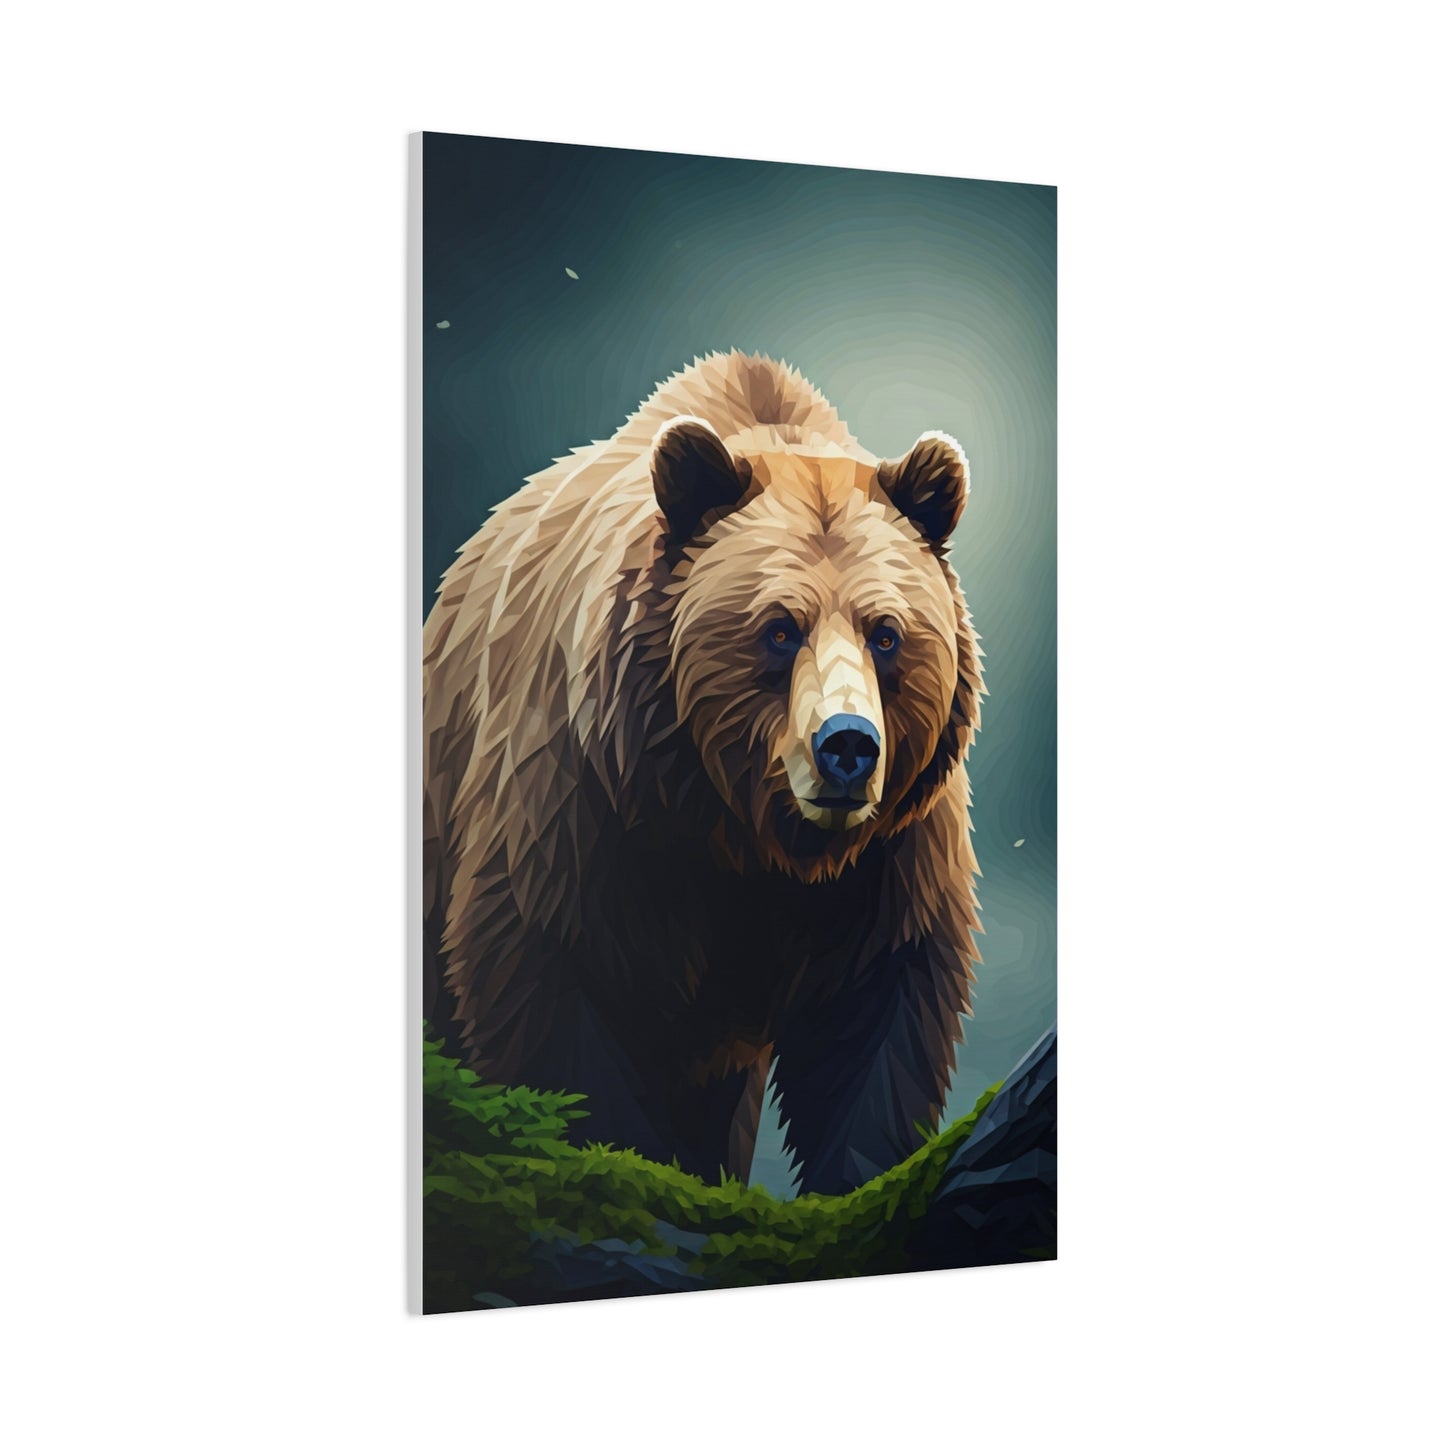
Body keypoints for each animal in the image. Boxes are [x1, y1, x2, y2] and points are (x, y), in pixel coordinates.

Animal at [423, 351, 983, 1195]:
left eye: (885, 633)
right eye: (779, 628)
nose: (846, 745)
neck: (742, 829)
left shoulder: (892, 854)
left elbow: (878, 1026)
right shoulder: (584, 807)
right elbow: (553, 993)